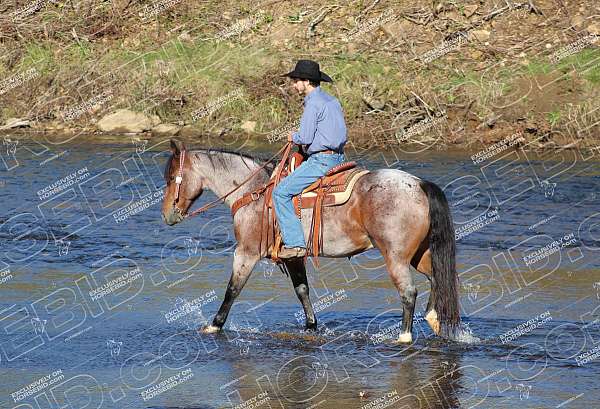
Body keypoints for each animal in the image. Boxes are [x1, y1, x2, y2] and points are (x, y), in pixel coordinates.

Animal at [162, 139, 462, 342]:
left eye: (170, 178)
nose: (167, 215)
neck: (254, 191)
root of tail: (420, 184)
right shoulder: (293, 256)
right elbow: (302, 290)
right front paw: (311, 326)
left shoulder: (246, 252)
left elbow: (232, 290)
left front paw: (214, 325)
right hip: (419, 254)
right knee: (437, 278)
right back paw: (435, 320)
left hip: (396, 257)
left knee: (408, 292)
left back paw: (404, 336)